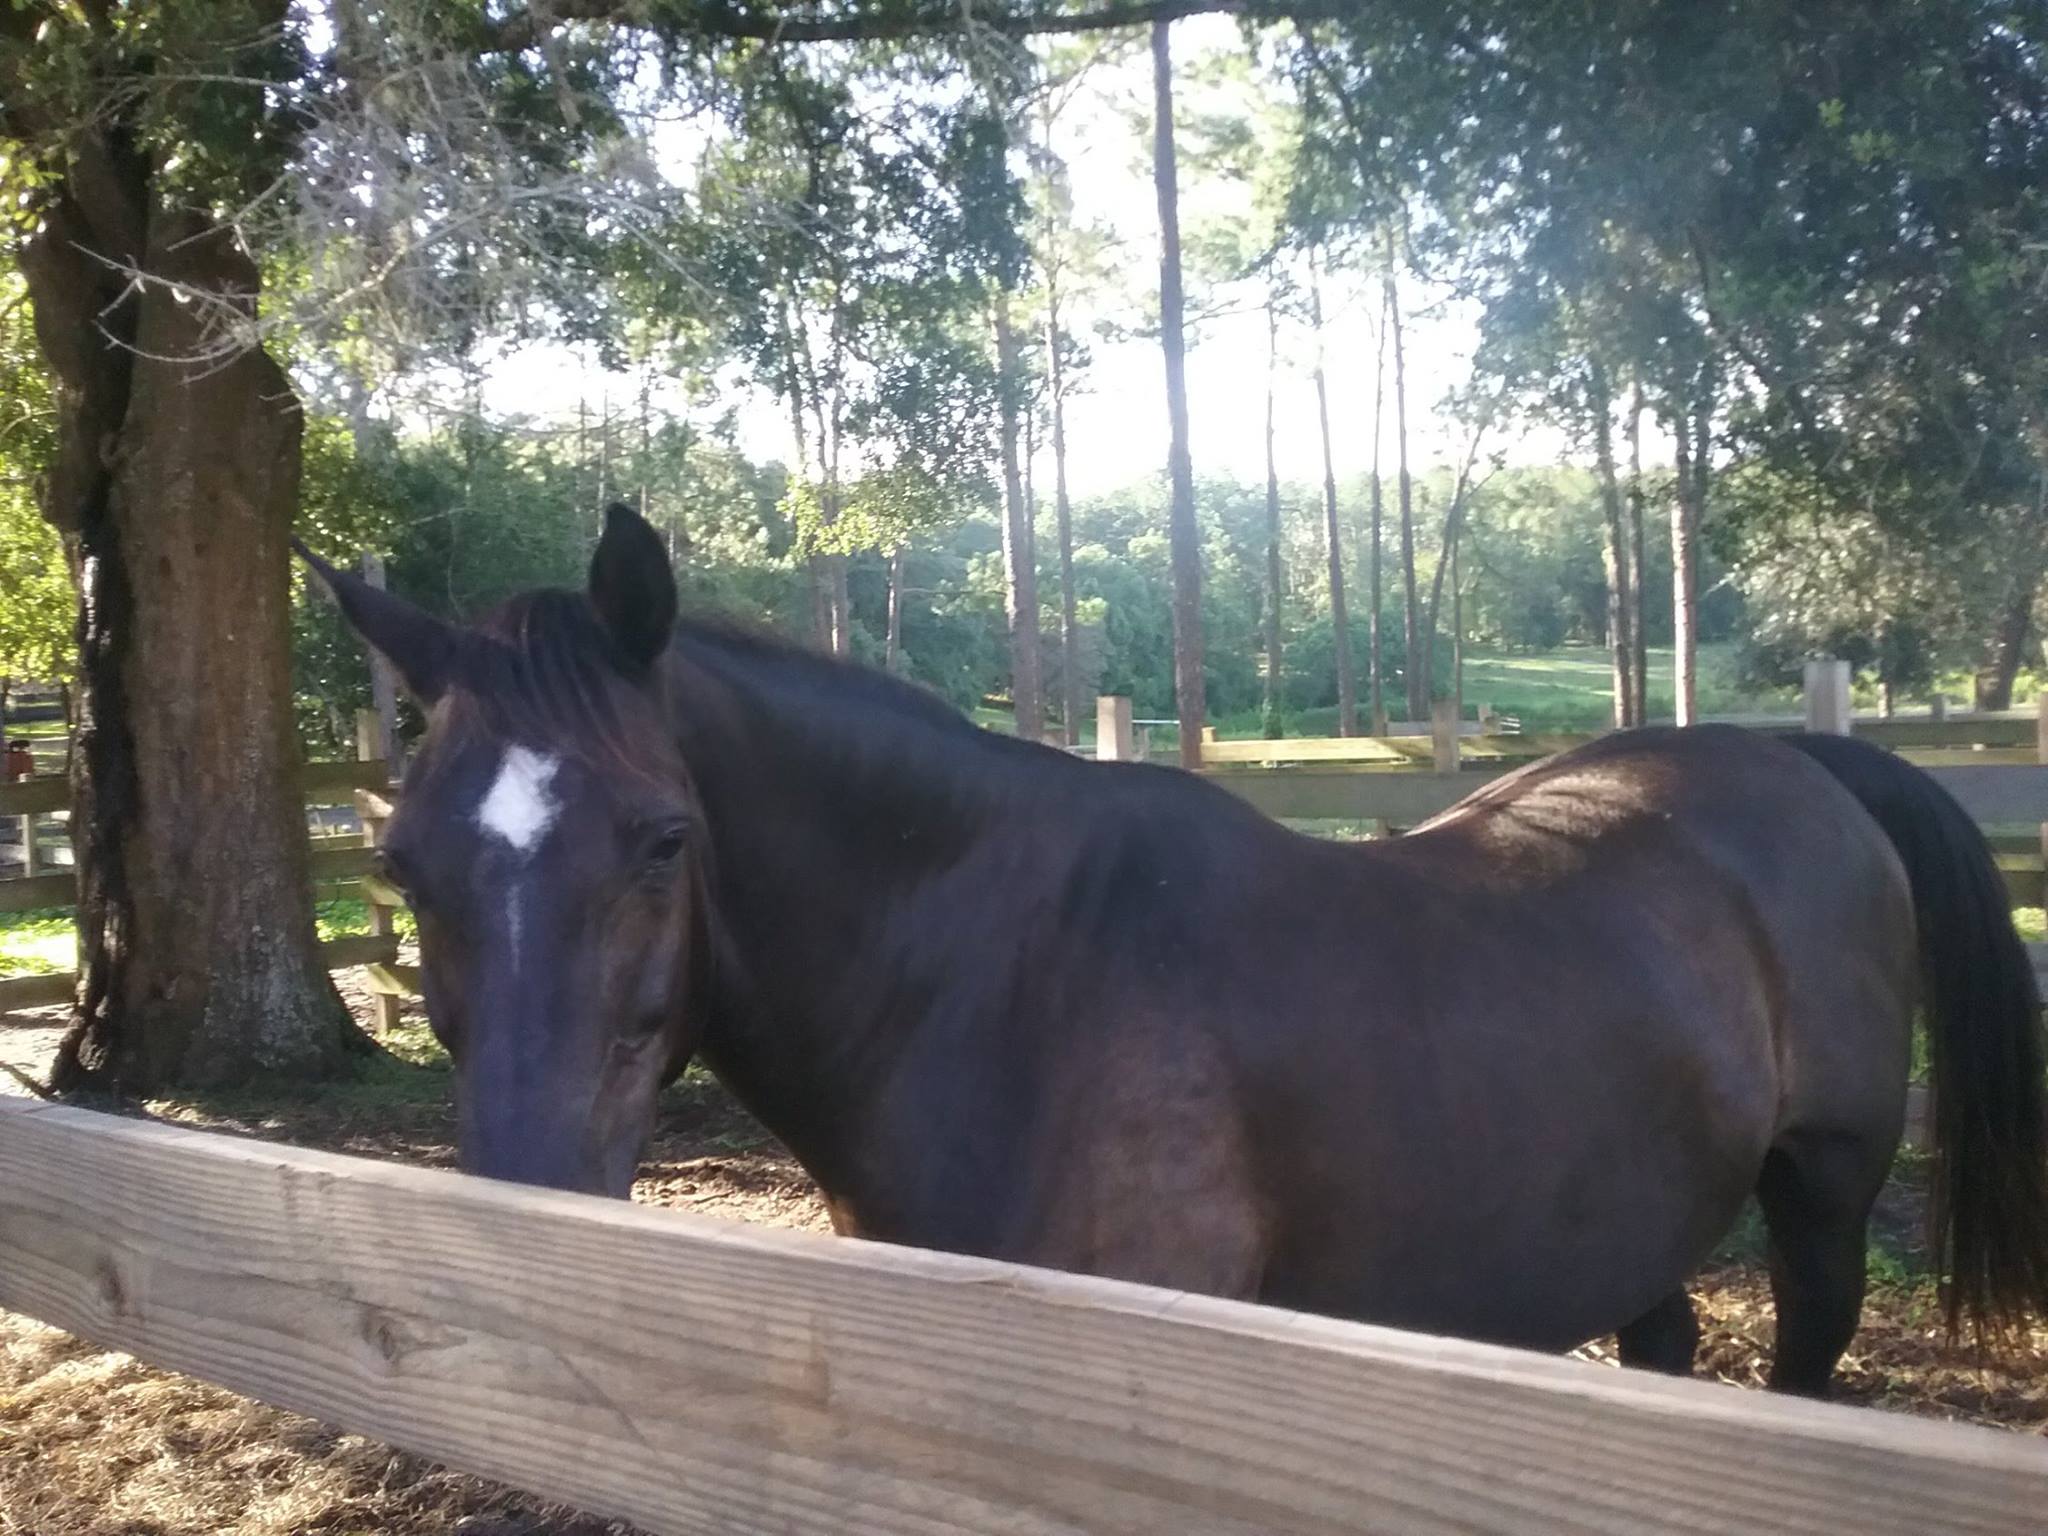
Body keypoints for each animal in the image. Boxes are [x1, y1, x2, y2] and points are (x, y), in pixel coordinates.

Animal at [299, 507, 2048, 1392]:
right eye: (399, 857)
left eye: (664, 840)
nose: (525, 1224)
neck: (1007, 993)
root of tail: (1796, 762)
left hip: (1820, 1199)